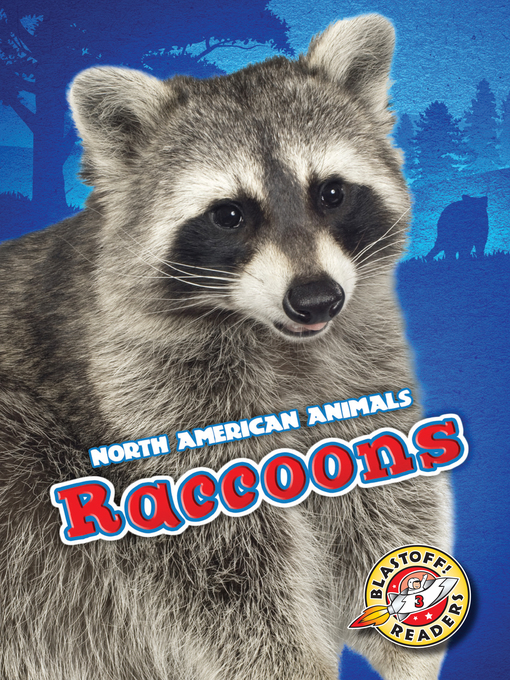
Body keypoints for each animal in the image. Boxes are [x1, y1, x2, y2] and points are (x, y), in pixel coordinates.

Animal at [0, 14, 451, 680]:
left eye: (332, 193)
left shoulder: (359, 354)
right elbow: (217, 560)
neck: (269, 335)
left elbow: (382, 487)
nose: (316, 300)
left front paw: (408, 651)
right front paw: (298, 665)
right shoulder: (141, 393)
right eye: (229, 215)